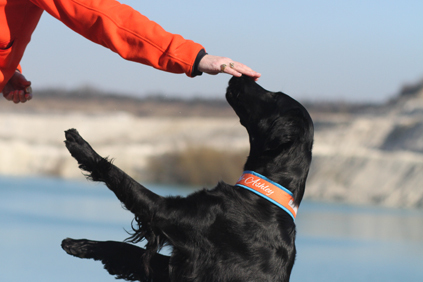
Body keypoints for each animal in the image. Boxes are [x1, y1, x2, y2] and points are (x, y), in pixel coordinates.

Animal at [61, 75, 314, 282]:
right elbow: (125, 249)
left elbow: (118, 176)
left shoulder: (168, 214)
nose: (239, 76)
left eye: (274, 96)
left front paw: (82, 148)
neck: (260, 197)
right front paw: (80, 246)